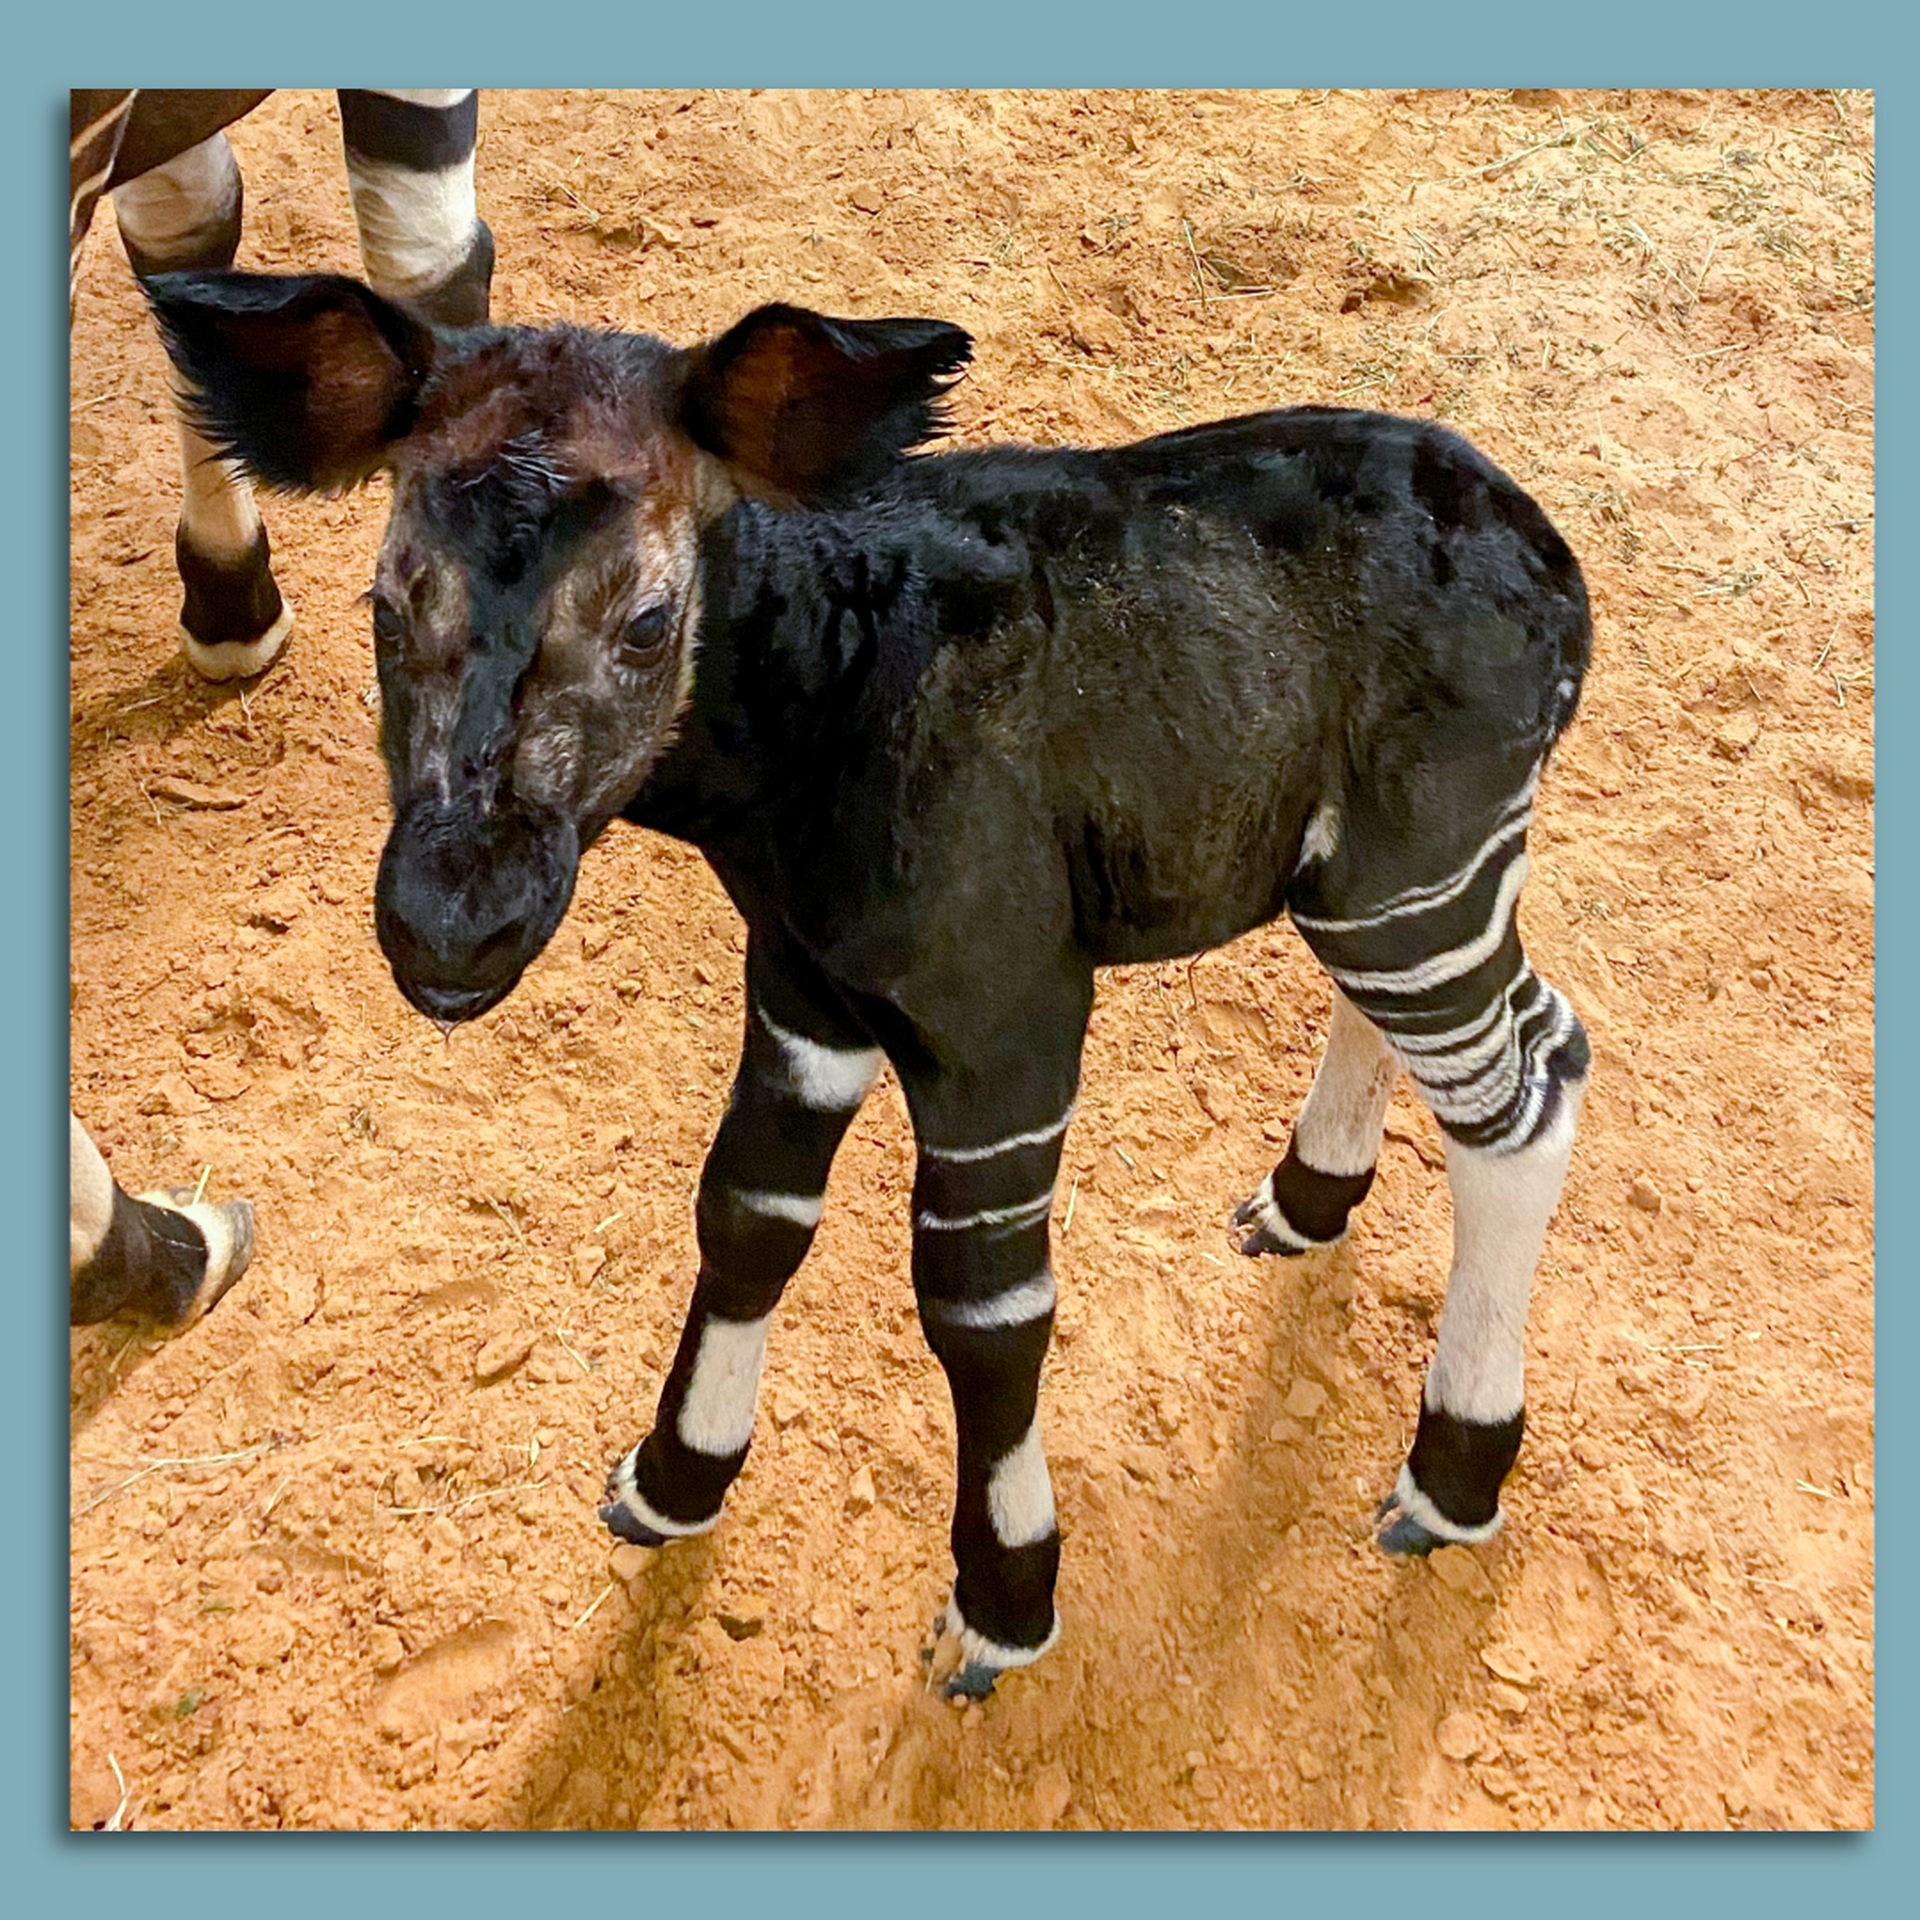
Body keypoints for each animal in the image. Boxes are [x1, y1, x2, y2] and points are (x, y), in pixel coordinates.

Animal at [145, 270, 1589, 1697]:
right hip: (1369, 883)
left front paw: (1004, 1598)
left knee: (1532, 1083)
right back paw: (1305, 1202)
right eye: (387, 608)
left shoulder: (1004, 1018)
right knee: (1456, 1036)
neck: (820, 716)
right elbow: (747, 1215)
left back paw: (1450, 1475)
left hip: (1420, 878)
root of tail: (1552, 560)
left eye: (649, 623)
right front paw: (674, 1480)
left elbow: (982, 1305)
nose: (451, 930)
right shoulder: (803, 991)